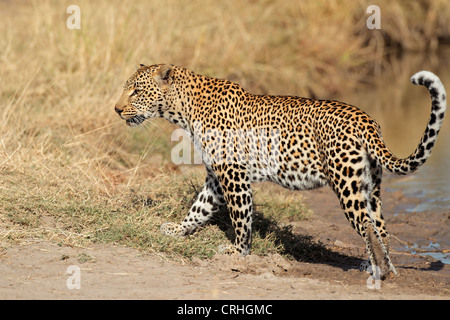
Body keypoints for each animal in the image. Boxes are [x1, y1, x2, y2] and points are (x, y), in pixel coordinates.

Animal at [115, 63, 446, 278]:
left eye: (135, 91)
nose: (117, 109)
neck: (183, 110)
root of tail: (366, 120)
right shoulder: (216, 177)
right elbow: (199, 207)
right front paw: (178, 229)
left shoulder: (233, 174)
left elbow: (240, 216)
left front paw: (238, 253)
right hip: (369, 186)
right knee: (380, 226)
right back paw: (379, 266)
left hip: (347, 185)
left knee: (366, 224)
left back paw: (379, 271)